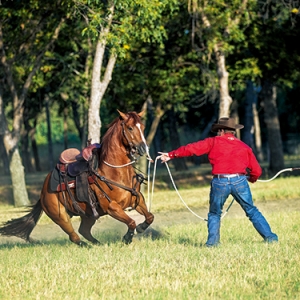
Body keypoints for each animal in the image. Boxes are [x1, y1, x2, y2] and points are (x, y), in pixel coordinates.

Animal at [0, 110, 155, 246]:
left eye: (142, 127)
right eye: (130, 128)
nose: (143, 149)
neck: (114, 172)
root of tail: (43, 191)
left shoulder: (138, 199)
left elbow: (150, 217)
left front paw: (141, 227)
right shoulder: (112, 208)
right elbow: (131, 222)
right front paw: (127, 237)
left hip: (88, 214)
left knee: (84, 231)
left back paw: (98, 244)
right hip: (60, 216)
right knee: (74, 236)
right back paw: (88, 245)